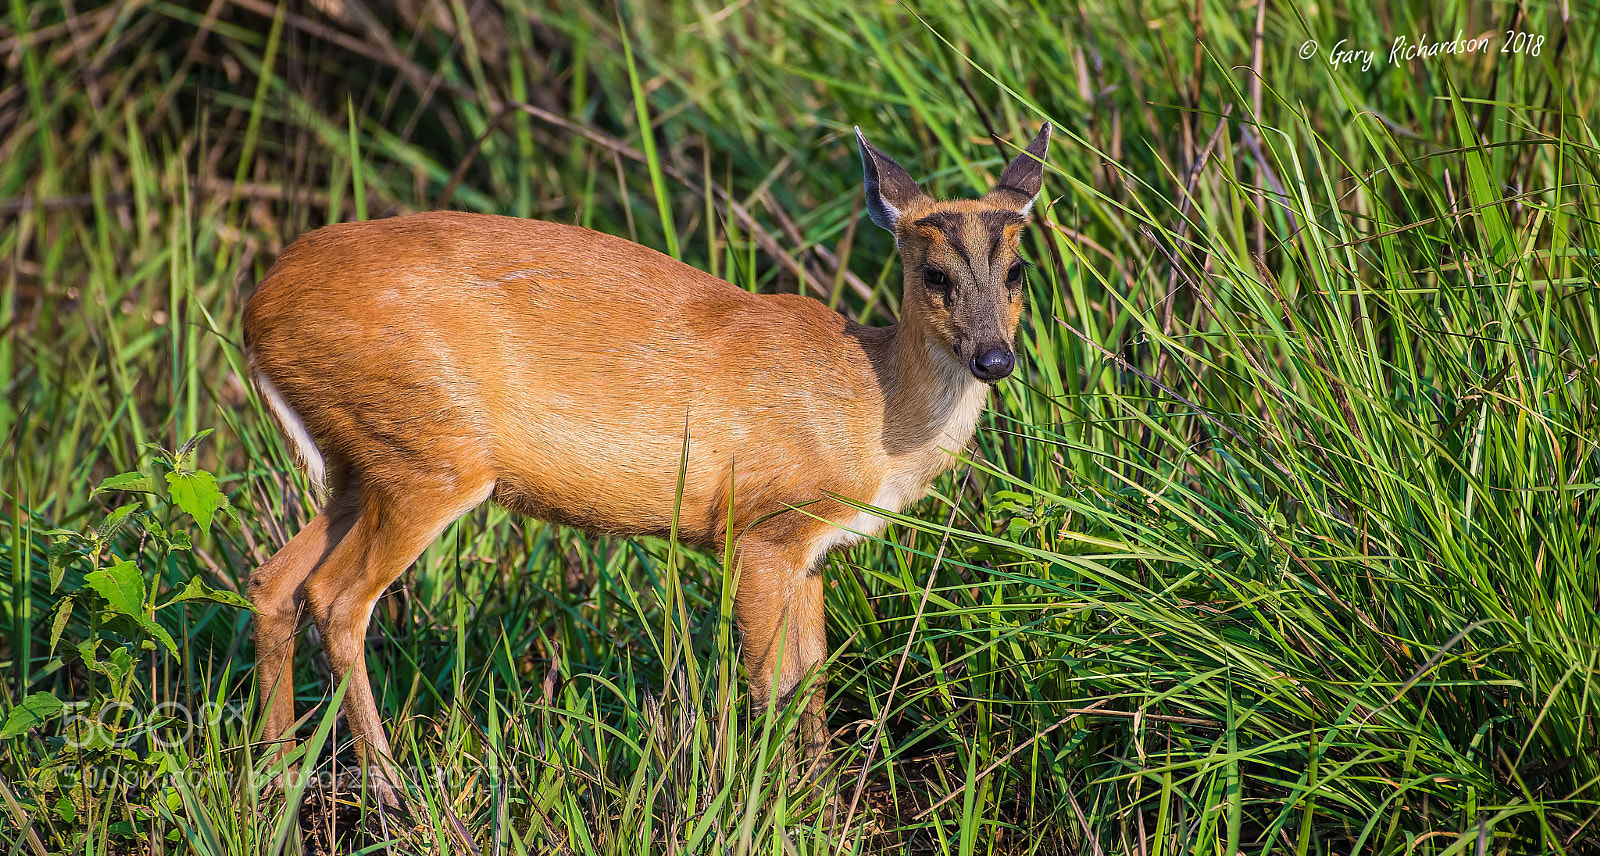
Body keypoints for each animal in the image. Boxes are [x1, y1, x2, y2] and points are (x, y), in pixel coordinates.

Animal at [242, 122, 1050, 805]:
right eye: (935, 275)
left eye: (1017, 271)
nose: (994, 359)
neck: (872, 412)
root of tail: (258, 308)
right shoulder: (758, 530)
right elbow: (771, 686)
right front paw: (779, 808)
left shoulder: (814, 551)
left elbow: (812, 683)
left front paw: (823, 797)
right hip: (430, 456)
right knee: (337, 600)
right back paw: (393, 794)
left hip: (361, 465)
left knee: (275, 582)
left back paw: (277, 779)